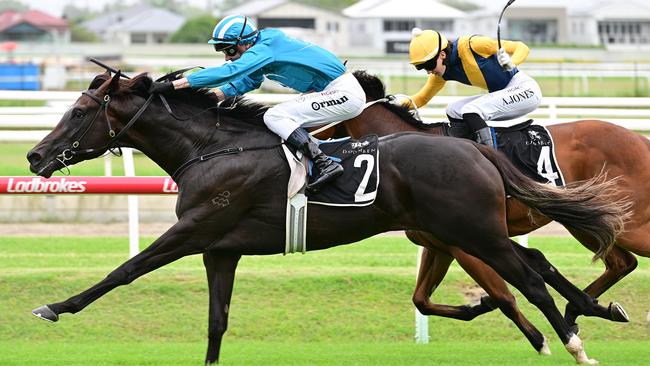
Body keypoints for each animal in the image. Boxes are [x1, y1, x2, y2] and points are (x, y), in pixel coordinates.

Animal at [26, 71, 628, 364]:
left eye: (78, 112)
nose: (34, 156)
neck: (213, 149)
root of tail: (473, 148)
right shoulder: (221, 249)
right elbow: (216, 322)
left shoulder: (195, 229)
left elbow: (124, 270)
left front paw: (55, 306)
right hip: (467, 230)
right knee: (537, 262)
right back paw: (592, 311)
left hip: (472, 231)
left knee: (529, 277)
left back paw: (575, 344)